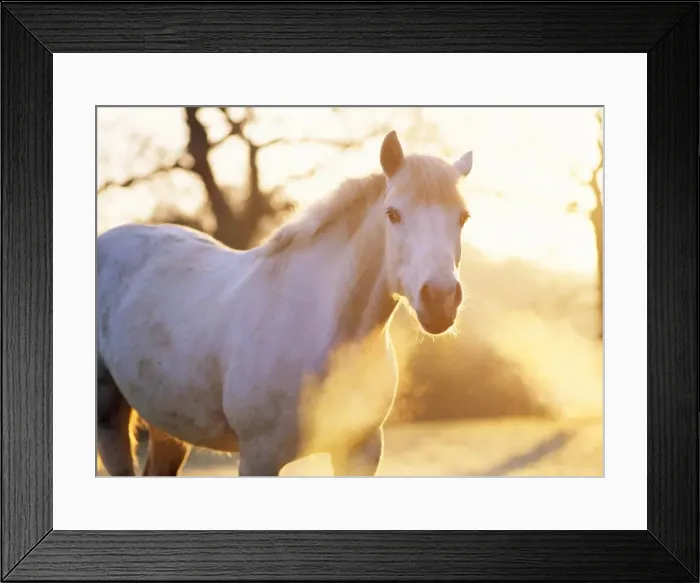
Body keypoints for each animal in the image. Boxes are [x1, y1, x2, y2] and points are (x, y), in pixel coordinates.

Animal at [96, 130, 474, 477]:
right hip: (108, 419)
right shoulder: (259, 458)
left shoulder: (360, 451)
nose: (440, 298)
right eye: (393, 214)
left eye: (463, 217)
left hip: (169, 427)